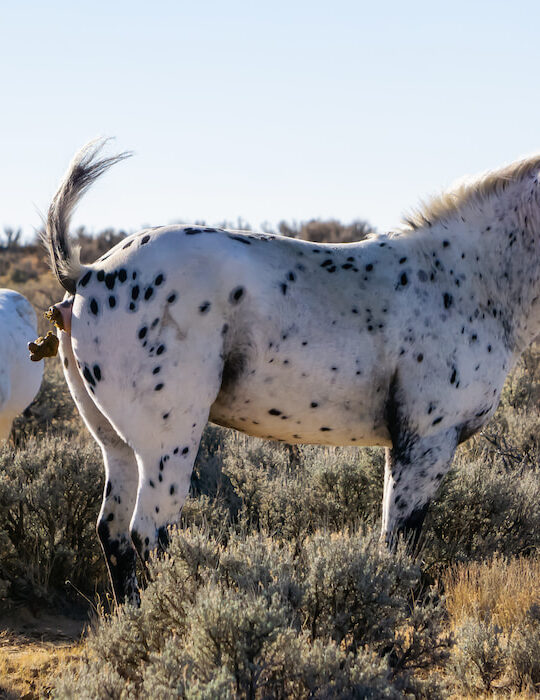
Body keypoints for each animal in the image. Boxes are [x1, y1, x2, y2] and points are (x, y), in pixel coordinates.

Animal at [41, 139, 540, 604]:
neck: (464, 278)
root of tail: (87, 274)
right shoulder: (425, 445)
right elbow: (399, 546)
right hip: (168, 444)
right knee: (151, 533)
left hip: (116, 445)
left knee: (114, 534)